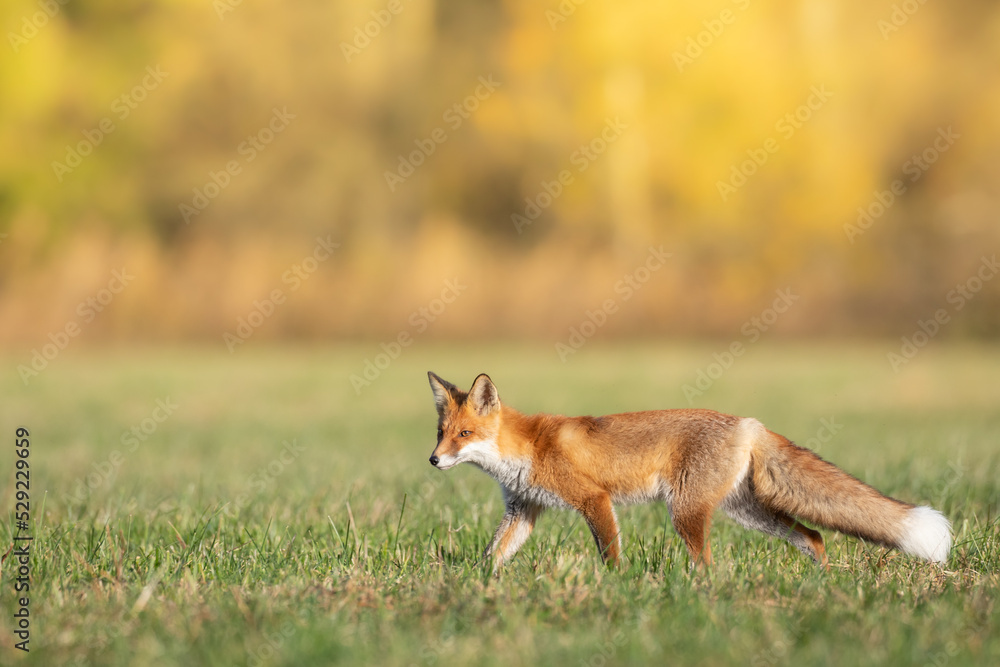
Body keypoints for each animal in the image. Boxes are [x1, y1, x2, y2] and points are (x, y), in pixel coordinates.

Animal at [426, 372, 952, 572]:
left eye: (465, 435)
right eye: (440, 432)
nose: (432, 461)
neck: (528, 447)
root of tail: (747, 422)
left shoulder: (594, 499)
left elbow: (609, 554)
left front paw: (617, 587)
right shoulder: (524, 509)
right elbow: (493, 555)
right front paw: (474, 584)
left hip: (686, 512)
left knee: (708, 565)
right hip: (747, 512)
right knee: (815, 536)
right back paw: (822, 582)